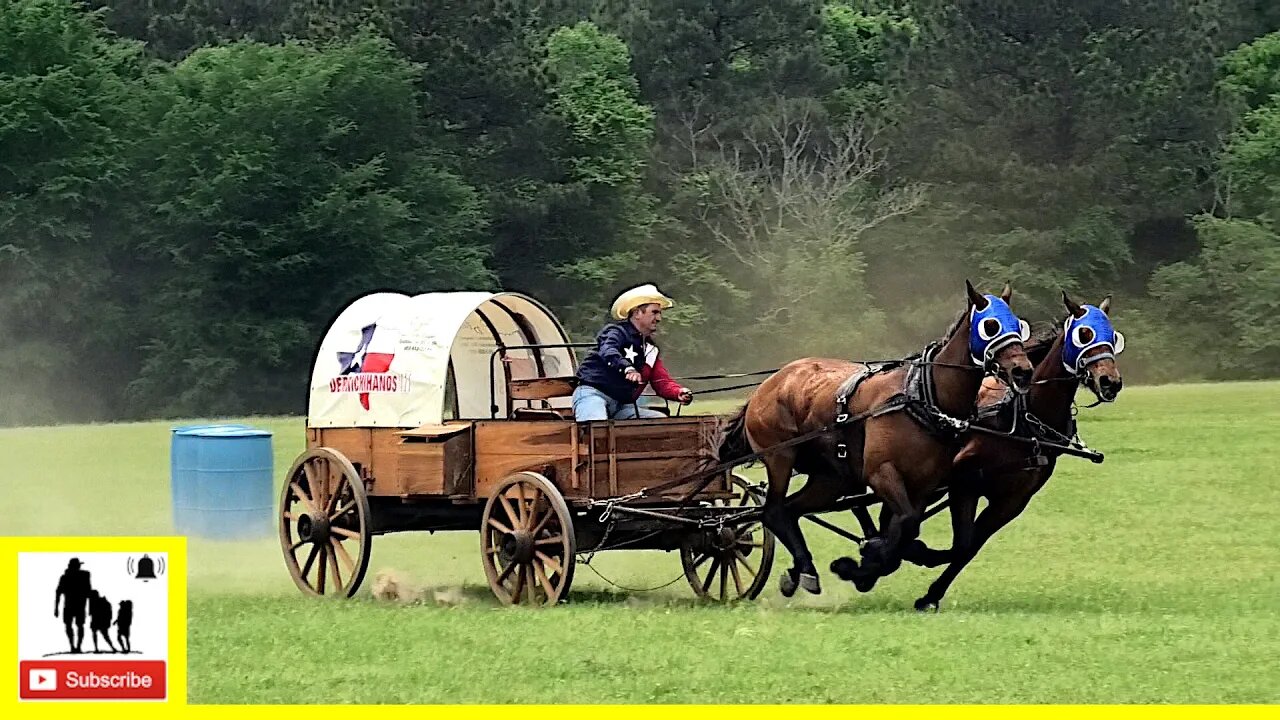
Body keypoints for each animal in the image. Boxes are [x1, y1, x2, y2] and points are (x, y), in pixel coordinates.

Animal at [716, 280, 1034, 594]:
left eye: (1018, 325)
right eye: (990, 326)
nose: (1023, 371)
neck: (922, 396)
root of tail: (767, 385)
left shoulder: (922, 486)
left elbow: (909, 528)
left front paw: (872, 561)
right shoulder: (881, 473)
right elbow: (906, 523)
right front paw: (866, 563)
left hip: (831, 478)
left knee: (791, 509)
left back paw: (797, 571)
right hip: (780, 455)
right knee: (773, 511)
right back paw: (805, 569)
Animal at [906, 289, 1126, 604]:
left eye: (1113, 336)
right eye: (1083, 334)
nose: (1110, 382)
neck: (1023, 419)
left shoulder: (1011, 502)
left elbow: (967, 547)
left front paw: (931, 593)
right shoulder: (963, 481)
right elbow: (958, 540)